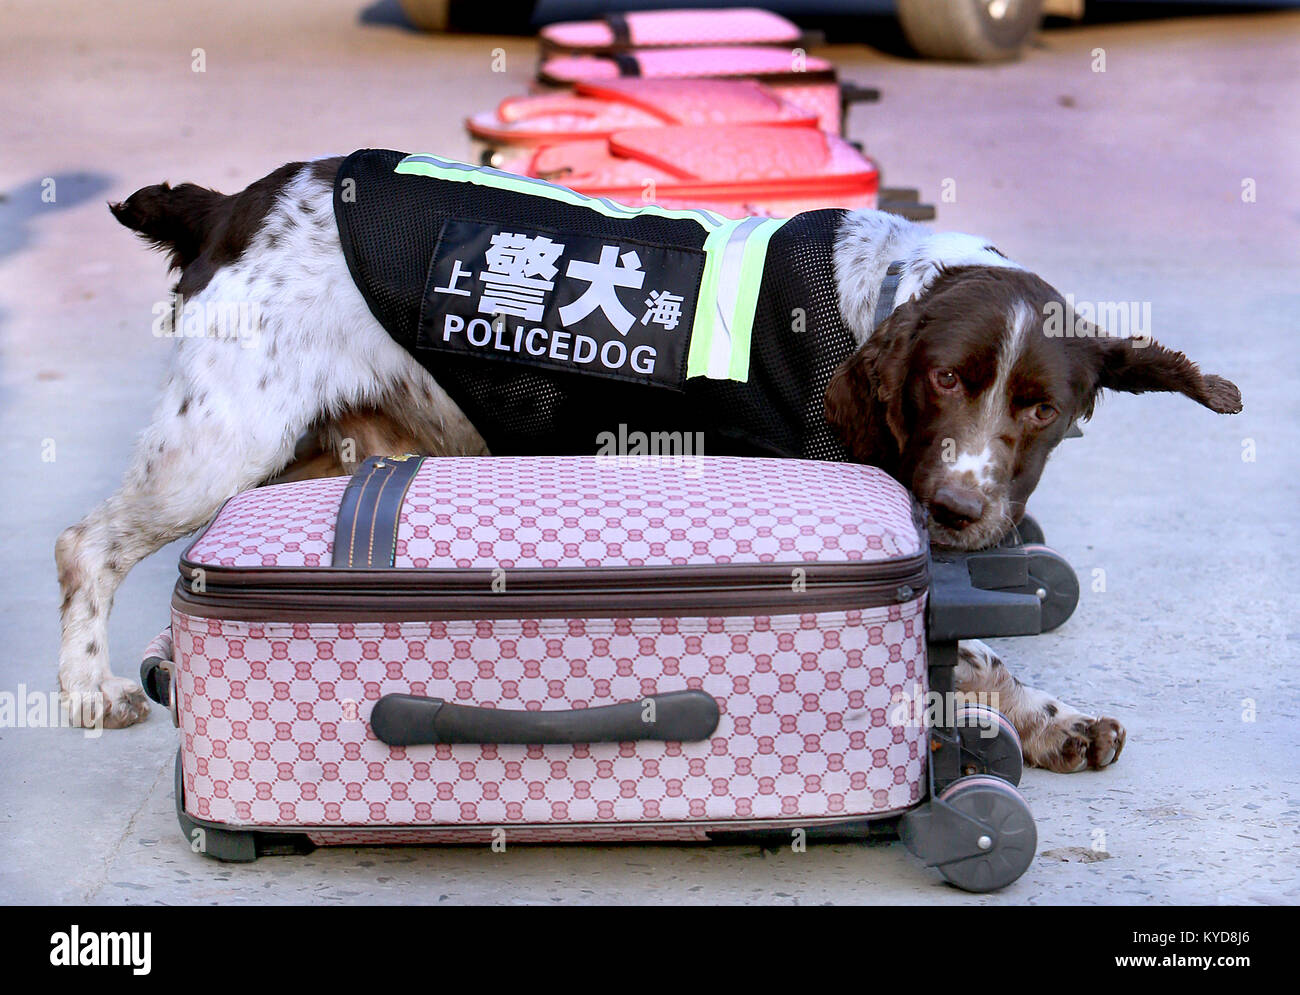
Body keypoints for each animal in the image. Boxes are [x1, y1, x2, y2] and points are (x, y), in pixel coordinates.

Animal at [55, 157, 1242, 775]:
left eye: (1041, 409)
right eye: (944, 380)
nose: (956, 507)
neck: (869, 305)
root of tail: (233, 202)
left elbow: (975, 647)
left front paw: (1051, 720)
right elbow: (967, 651)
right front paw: (1026, 717)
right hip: (220, 442)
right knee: (83, 543)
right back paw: (84, 691)